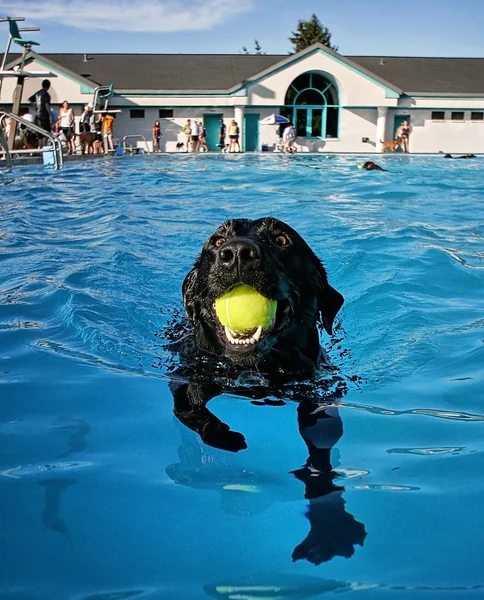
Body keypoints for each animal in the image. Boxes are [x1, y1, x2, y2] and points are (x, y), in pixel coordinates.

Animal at [168, 218, 364, 564]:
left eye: (282, 239)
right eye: (216, 241)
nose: (236, 254)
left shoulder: (317, 395)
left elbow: (321, 457)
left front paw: (329, 522)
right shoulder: (188, 371)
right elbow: (187, 409)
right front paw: (225, 442)